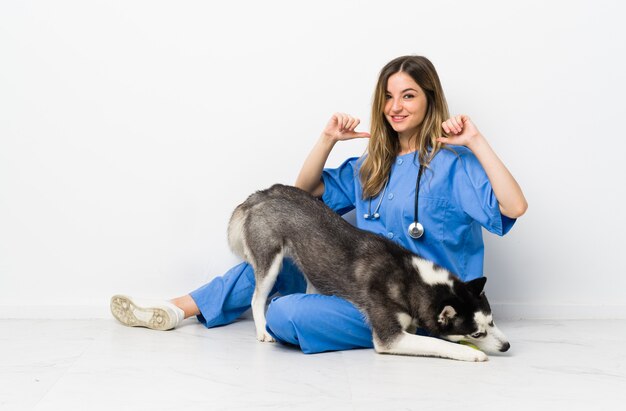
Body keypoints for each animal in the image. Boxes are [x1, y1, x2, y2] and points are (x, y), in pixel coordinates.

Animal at [227, 185, 510, 362]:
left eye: (492, 321)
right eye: (476, 334)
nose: (506, 346)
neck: (409, 277)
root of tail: (262, 194)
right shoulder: (390, 338)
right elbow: (438, 343)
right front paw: (472, 353)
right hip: (270, 259)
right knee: (257, 298)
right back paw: (263, 330)